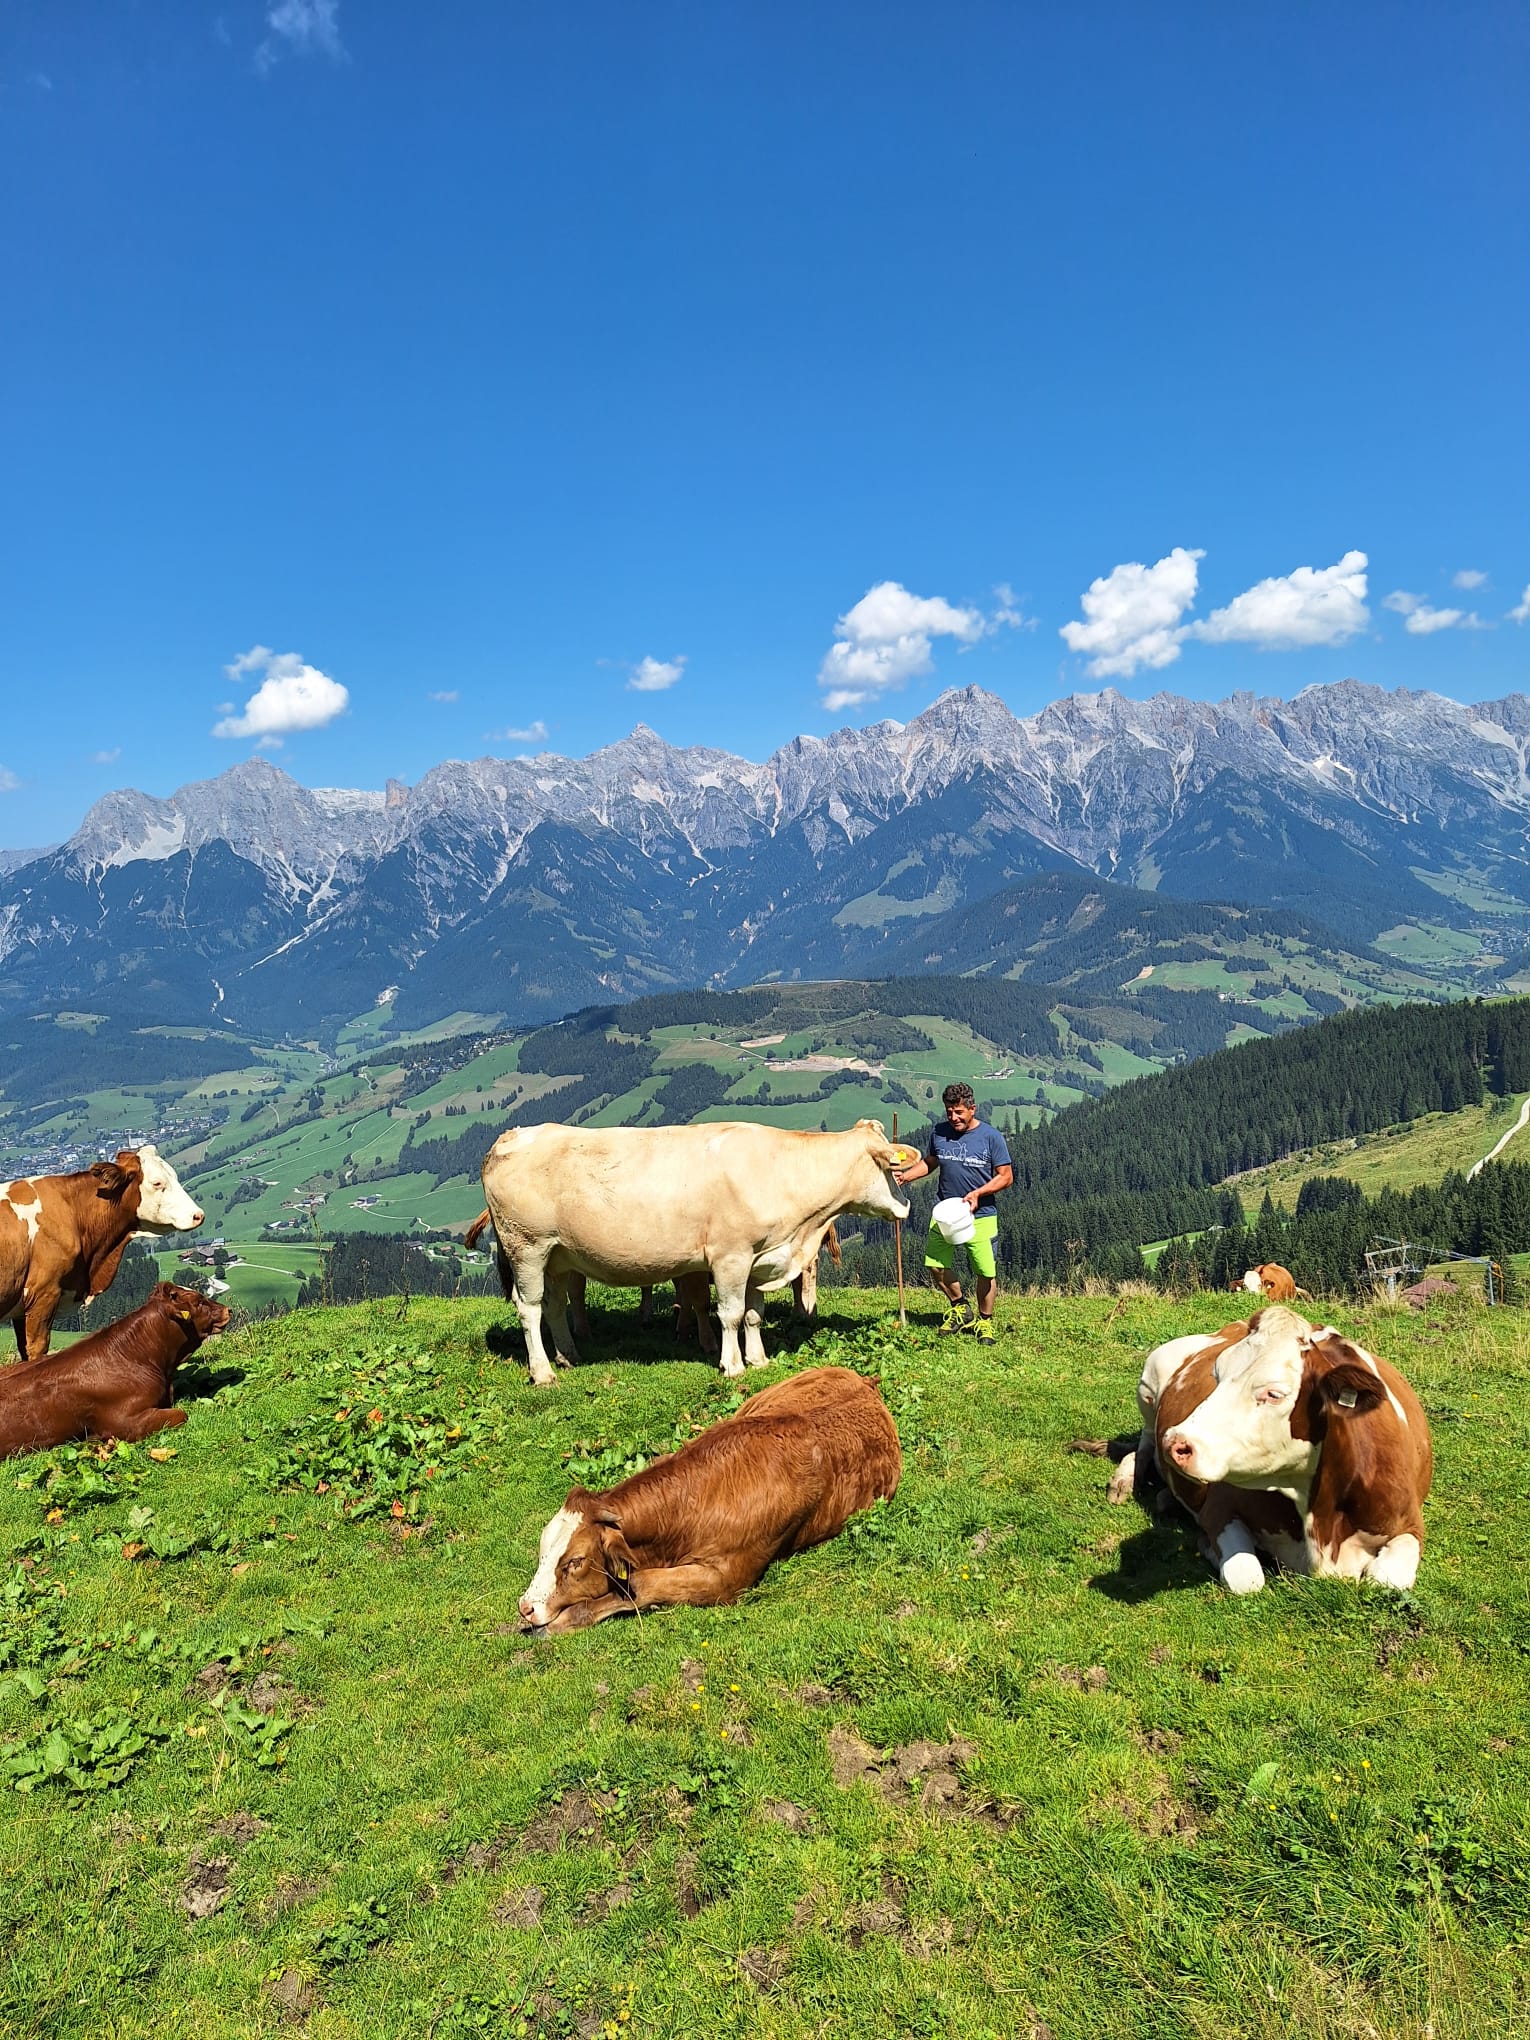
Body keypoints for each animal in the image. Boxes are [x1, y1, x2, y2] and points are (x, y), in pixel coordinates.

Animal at [479, 1120, 911, 1384]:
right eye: (888, 1167)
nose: (905, 1206)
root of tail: (511, 1136)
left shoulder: (758, 1258)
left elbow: (754, 1314)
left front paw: (758, 1359)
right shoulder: (730, 1257)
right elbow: (731, 1314)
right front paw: (733, 1365)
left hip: (558, 1255)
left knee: (553, 1305)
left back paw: (569, 1356)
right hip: (526, 1248)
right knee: (529, 1308)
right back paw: (542, 1372)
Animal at [517, 1365, 901, 1632]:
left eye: (575, 1561)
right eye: (542, 1550)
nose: (526, 1606)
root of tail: (866, 1382)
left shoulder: (727, 1579)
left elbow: (638, 1585)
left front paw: (564, 1621)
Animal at [1138, 1305, 1432, 1594]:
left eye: (1273, 1394)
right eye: (1216, 1375)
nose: (1175, 1441)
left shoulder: (1409, 1523)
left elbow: (1387, 1579)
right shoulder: (1218, 1506)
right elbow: (1246, 1579)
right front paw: (1208, 1547)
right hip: (1148, 1386)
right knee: (1145, 1441)